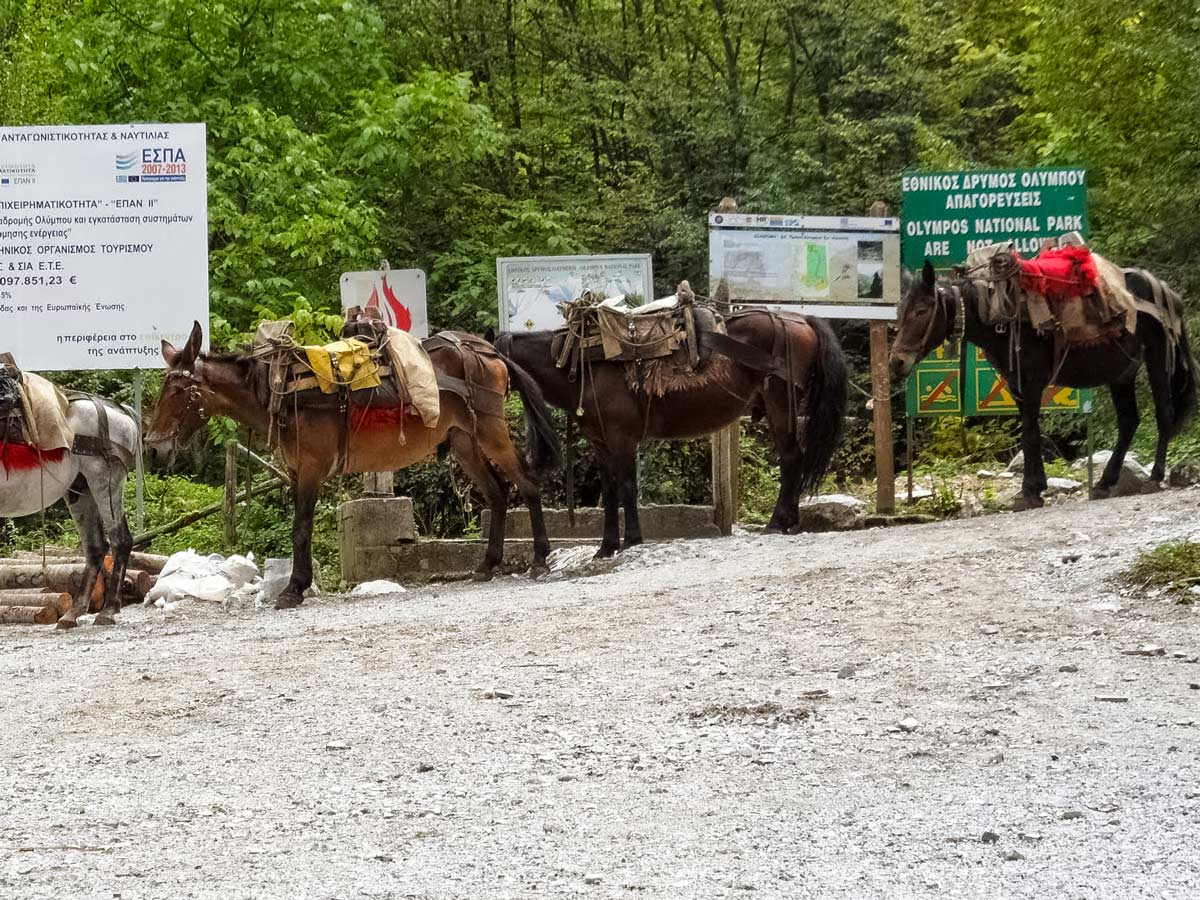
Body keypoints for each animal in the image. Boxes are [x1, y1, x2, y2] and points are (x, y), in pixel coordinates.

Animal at [147, 324, 559, 607]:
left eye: (178, 391)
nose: (152, 447)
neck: (281, 389)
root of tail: (486, 349)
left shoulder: (311, 468)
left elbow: (300, 528)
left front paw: (294, 588)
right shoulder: (296, 470)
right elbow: (302, 527)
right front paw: (298, 584)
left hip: (491, 430)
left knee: (527, 484)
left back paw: (540, 558)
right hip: (464, 441)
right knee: (498, 493)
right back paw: (487, 564)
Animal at [492, 307, 849, 554]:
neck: (581, 363)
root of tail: (799, 319)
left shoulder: (622, 439)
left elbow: (626, 487)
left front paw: (632, 539)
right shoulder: (601, 442)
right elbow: (609, 491)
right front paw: (606, 546)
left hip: (781, 404)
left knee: (791, 458)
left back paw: (779, 521)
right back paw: (789, 520)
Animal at [892, 260, 1190, 511]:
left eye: (921, 311)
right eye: (900, 312)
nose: (897, 361)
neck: (999, 313)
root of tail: (1163, 289)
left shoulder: (1031, 383)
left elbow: (1030, 434)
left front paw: (1029, 492)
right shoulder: (1017, 387)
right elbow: (1031, 431)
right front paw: (1036, 487)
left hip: (1157, 360)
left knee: (1163, 414)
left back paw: (1154, 477)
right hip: (1121, 373)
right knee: (1129, 421)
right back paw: (1105, 483)